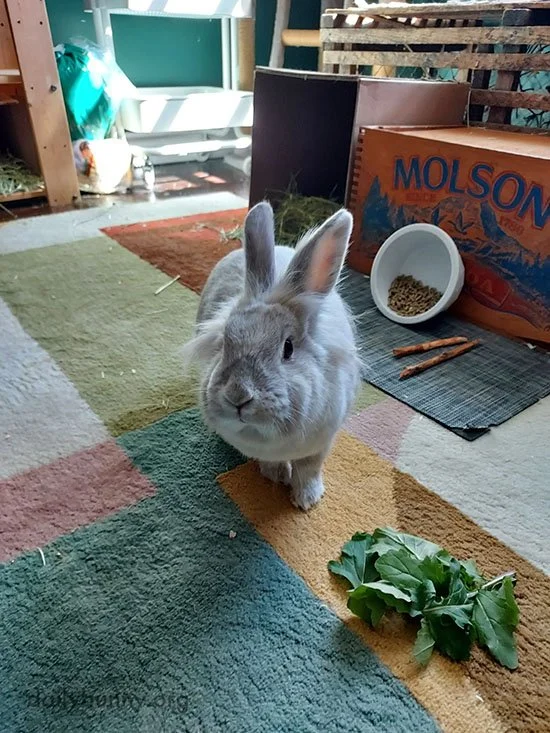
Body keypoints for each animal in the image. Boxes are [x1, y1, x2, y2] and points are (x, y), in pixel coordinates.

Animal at [183, 201, 361, 510]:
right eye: (224, 343)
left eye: (288, 348)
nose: (238, 396)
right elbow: (272, 463)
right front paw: (276, 476)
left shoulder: (321, 444)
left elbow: (309, 469)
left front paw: (307, 500)